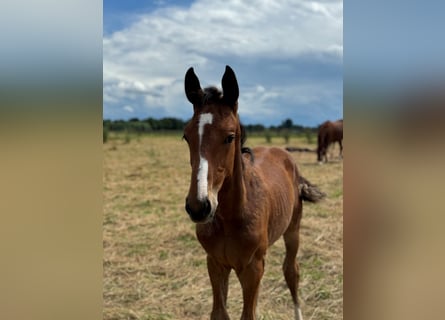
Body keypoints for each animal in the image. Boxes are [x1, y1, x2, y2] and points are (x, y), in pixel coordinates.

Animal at [182, 65, 324, 320]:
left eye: (230, 137)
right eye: (186, 136)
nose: (199, 206)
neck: (230, 217)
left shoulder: (252, 268)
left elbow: (248, 314)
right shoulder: (215, 263)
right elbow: (219, 313)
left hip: (293, 229)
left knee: (291, 270)